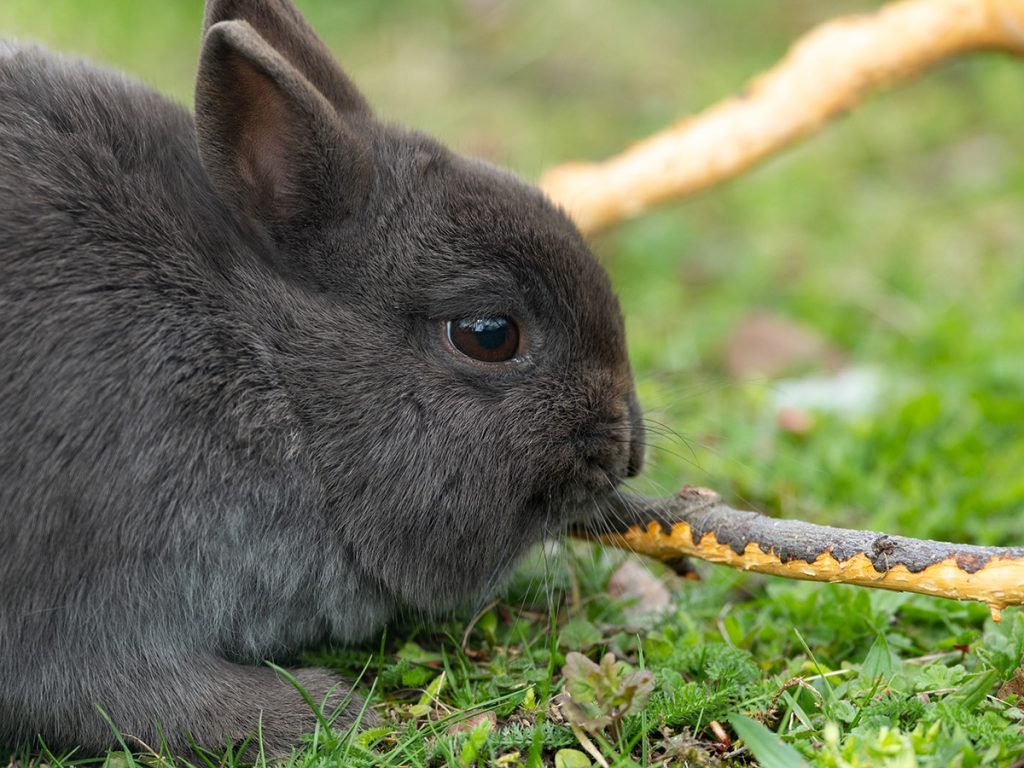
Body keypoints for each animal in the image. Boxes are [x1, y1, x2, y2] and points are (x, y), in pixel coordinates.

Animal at [0, 0, 646, 756]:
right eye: (489, 334)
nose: (624, 453)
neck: (271, 373)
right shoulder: (84, 579)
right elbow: (106, 692)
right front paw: (327, 713)